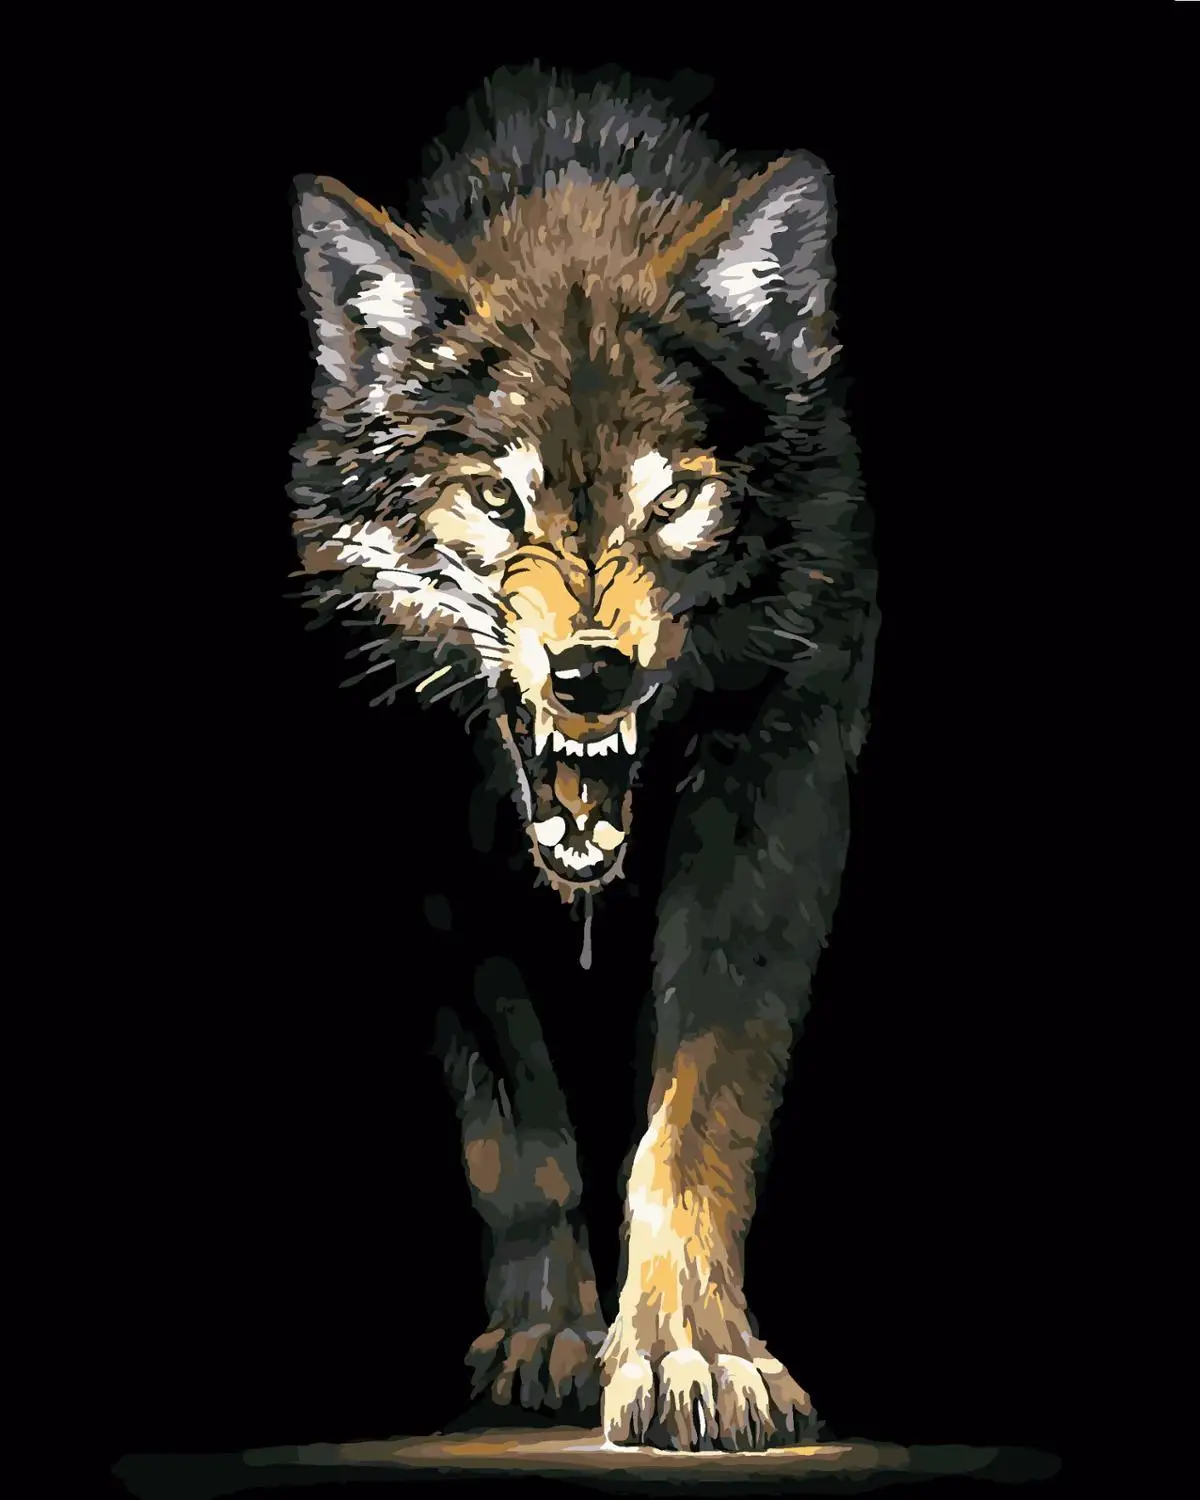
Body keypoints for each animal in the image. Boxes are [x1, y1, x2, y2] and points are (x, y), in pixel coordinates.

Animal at [289, 64, 877, 1452]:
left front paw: (692, 1354)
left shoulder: (779, 804)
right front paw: (552, 1336)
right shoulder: (429, 857)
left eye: (674, 500)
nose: (590, 676)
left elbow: (698, 1116)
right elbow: (520, 1129)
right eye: (498, 501)